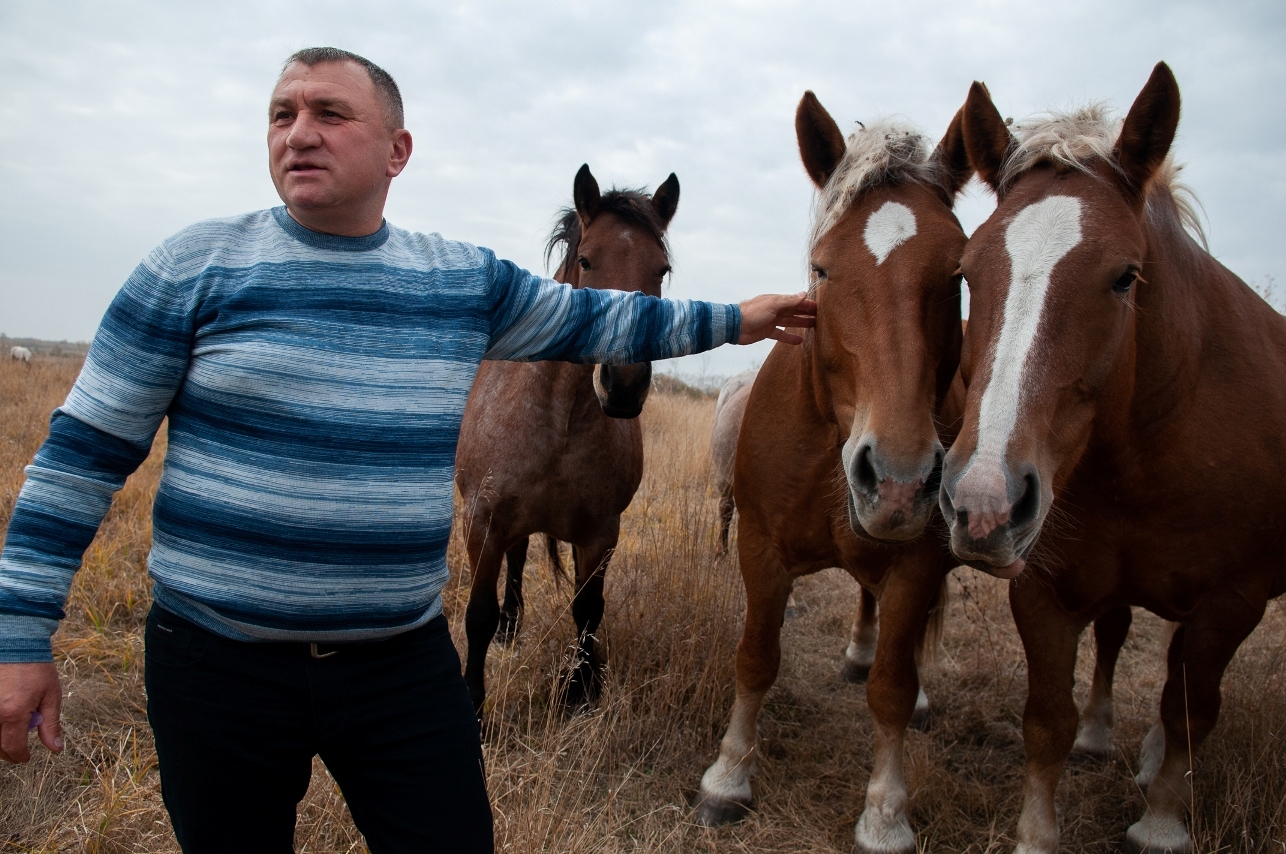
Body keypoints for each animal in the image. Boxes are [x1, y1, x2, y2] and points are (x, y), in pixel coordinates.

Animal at [455, 164, 679, 715]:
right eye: (586, 259)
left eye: (661, 269)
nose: (623, 383)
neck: (562, 421)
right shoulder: (482, 523)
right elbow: (477, 615)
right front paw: (475, 704)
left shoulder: (601, 532)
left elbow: (588, 608)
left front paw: (582, 686)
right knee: (513, 567)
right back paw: (510, 628)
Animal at [694, 93, 972, 854]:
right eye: (821, 269)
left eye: (959, 274)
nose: (899, 480)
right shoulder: (760, 549)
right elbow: (756, 656)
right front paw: (727, 778)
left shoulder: (915, 566)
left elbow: (893, 689)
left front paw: (885, 814)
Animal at [941, 63, 1286, 848]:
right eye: (968, 273)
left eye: (1126, 276)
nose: (984, 503)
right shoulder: (1041, 587)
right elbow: (1048, 719)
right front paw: (1037, 832)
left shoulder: (1233, 601)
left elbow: (1191, 710)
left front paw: (1161, 821)